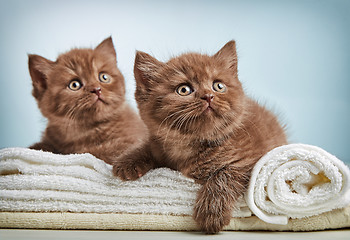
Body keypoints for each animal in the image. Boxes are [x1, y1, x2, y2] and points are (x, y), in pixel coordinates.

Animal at [28, 37, 147, 165]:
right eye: (74, 85)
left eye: (104, 77)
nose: (97, 89)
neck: (85, 131)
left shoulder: (128, 144)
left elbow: (90, 152)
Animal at [112, 40, 288, 232]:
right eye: (183, 89)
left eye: (218, 86)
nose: (208, 96)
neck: (190, 144)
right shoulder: (160, 145)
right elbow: (148, 146)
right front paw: (128, 161)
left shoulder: (254, 159)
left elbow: (226, 172)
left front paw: (212, 211)